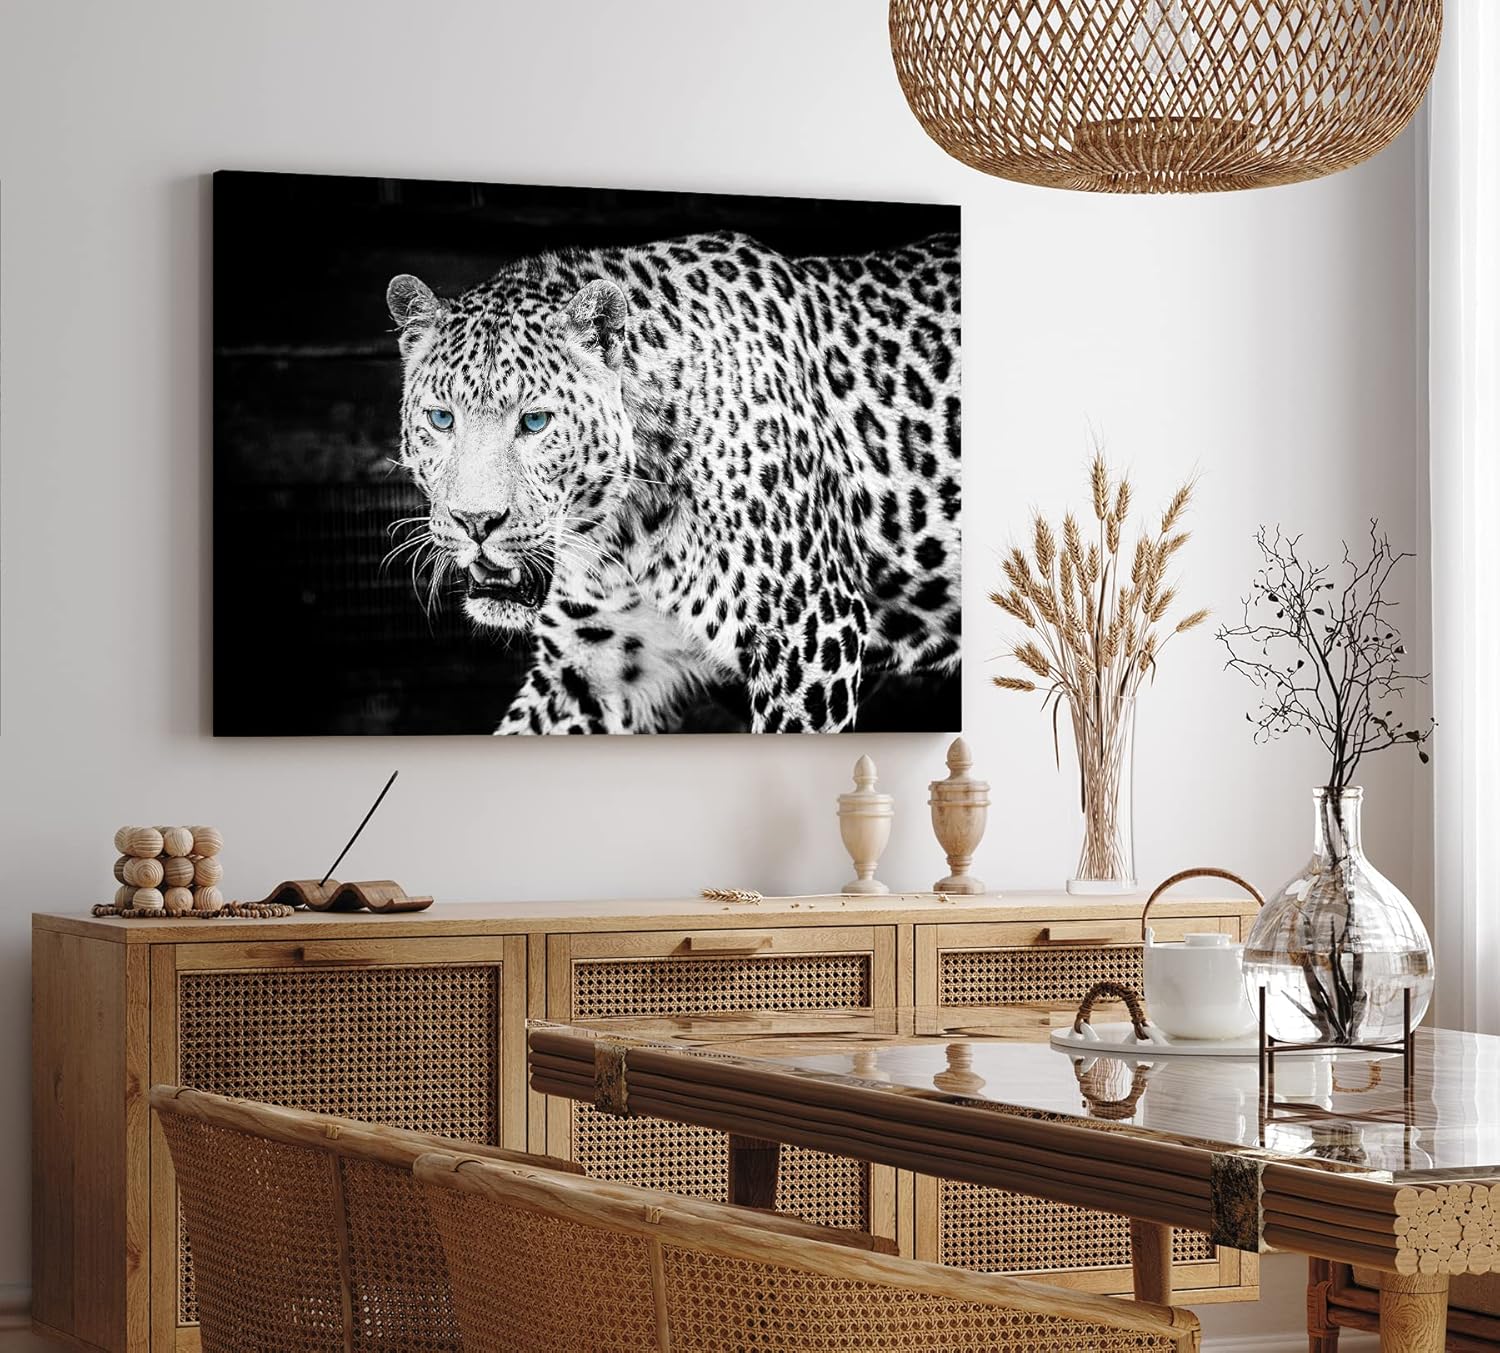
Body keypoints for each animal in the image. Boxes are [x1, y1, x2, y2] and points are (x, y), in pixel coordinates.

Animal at [385, 227, 960, 734]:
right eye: (442, 419)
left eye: (535, 422)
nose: (475, 522)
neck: (622, 535)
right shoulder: (589, 669)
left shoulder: (810, 633)